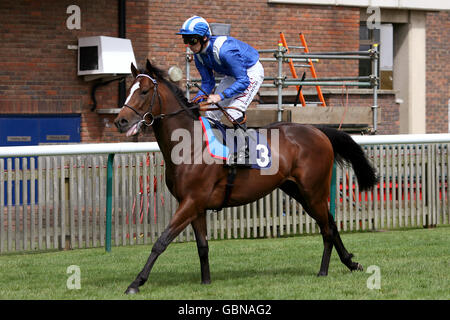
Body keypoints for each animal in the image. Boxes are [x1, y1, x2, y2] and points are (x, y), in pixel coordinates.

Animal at [114, 58, 378, 294]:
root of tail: (318, 130)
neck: (189, 144)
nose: (120, 121)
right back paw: (350, 262)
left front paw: (136, 283)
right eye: (129, 91)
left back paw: (324, 271)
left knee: (327, 229)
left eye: (144, 91)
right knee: (330, 223)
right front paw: (206, 281)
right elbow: (202, 246)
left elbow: (161, 241)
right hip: (298, 192)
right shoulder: (195, 206)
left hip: (313, 191)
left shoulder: (190, 202)